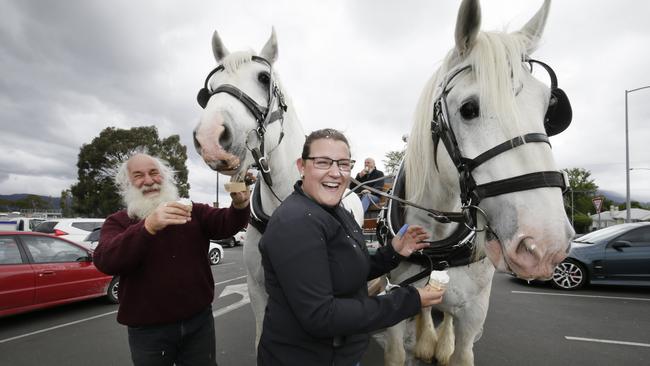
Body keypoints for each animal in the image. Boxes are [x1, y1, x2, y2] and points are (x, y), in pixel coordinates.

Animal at [380, 0, 572, 366]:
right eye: (469, 108)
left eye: (548, 111)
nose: (544, 246)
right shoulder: (397, 298)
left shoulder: (473, 314)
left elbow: (461, 344)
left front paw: (443, 345)